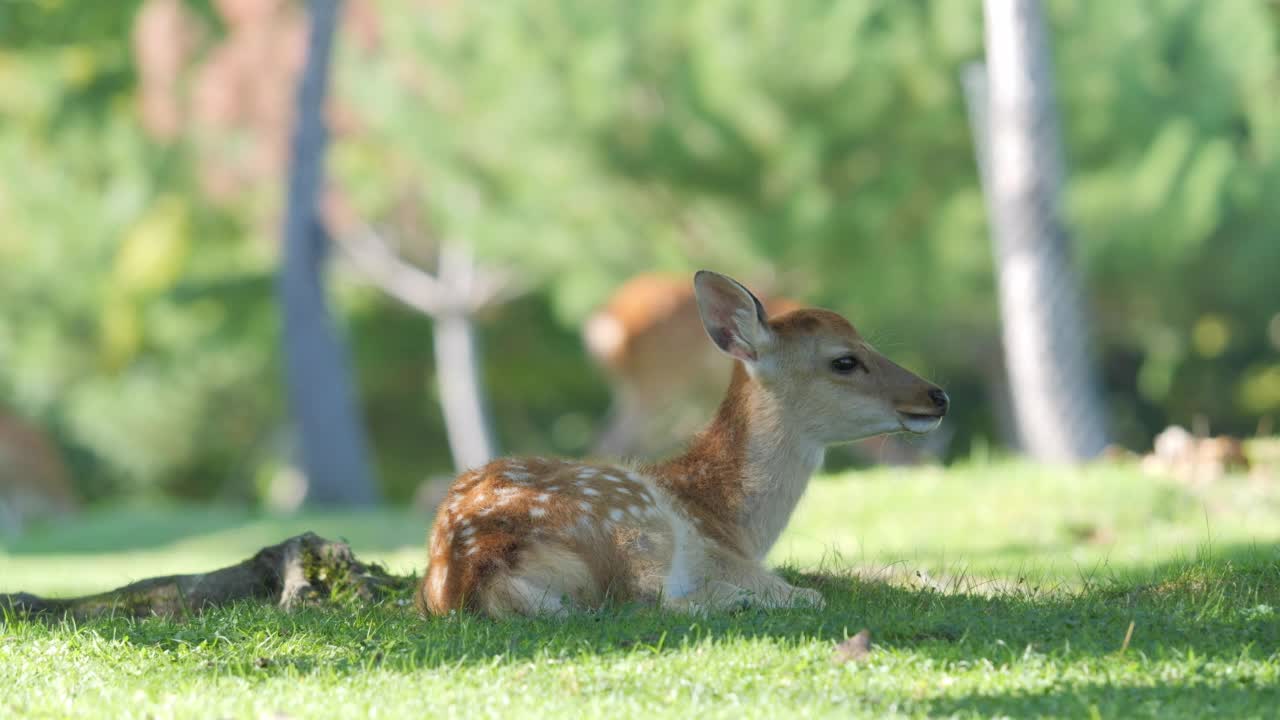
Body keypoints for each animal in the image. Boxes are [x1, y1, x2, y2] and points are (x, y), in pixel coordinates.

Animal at [414, 271, 947, 614]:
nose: (937, 395)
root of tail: (481, 570)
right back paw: (745, 600)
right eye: (844, 360)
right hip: (635, 521)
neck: (732, 523)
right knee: (656, 596)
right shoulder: (715, 552)